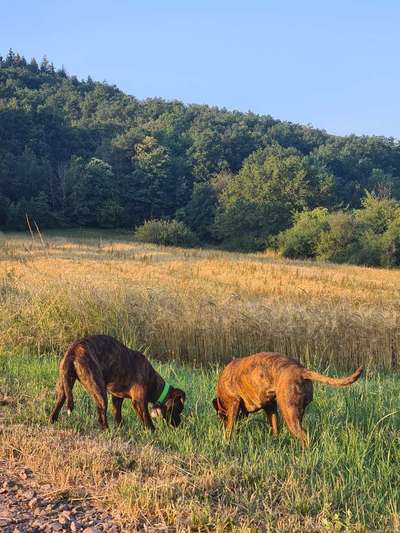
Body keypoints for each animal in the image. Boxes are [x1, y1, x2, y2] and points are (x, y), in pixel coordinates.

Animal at [50, 334, 186, 430]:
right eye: (178, 409)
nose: (179, 424)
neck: (153, 382)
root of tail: (73, 350)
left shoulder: (117, 398)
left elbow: (118, 415)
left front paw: (119, 428)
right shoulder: (139, 402)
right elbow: (147, 420)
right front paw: (152, 433)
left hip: (64, 387)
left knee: (58, 405)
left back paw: (52, 421)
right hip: (99, 391)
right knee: (101, 416)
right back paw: (107, 431)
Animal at [212, 354, 362, 444]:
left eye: (221, 417)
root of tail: (302, 371)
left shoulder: (233, 404)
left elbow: (230, 428)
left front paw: (226, 441)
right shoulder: (270, 407)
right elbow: (274, 426)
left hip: (289, 412)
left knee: (304, 436)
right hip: (297, 413)